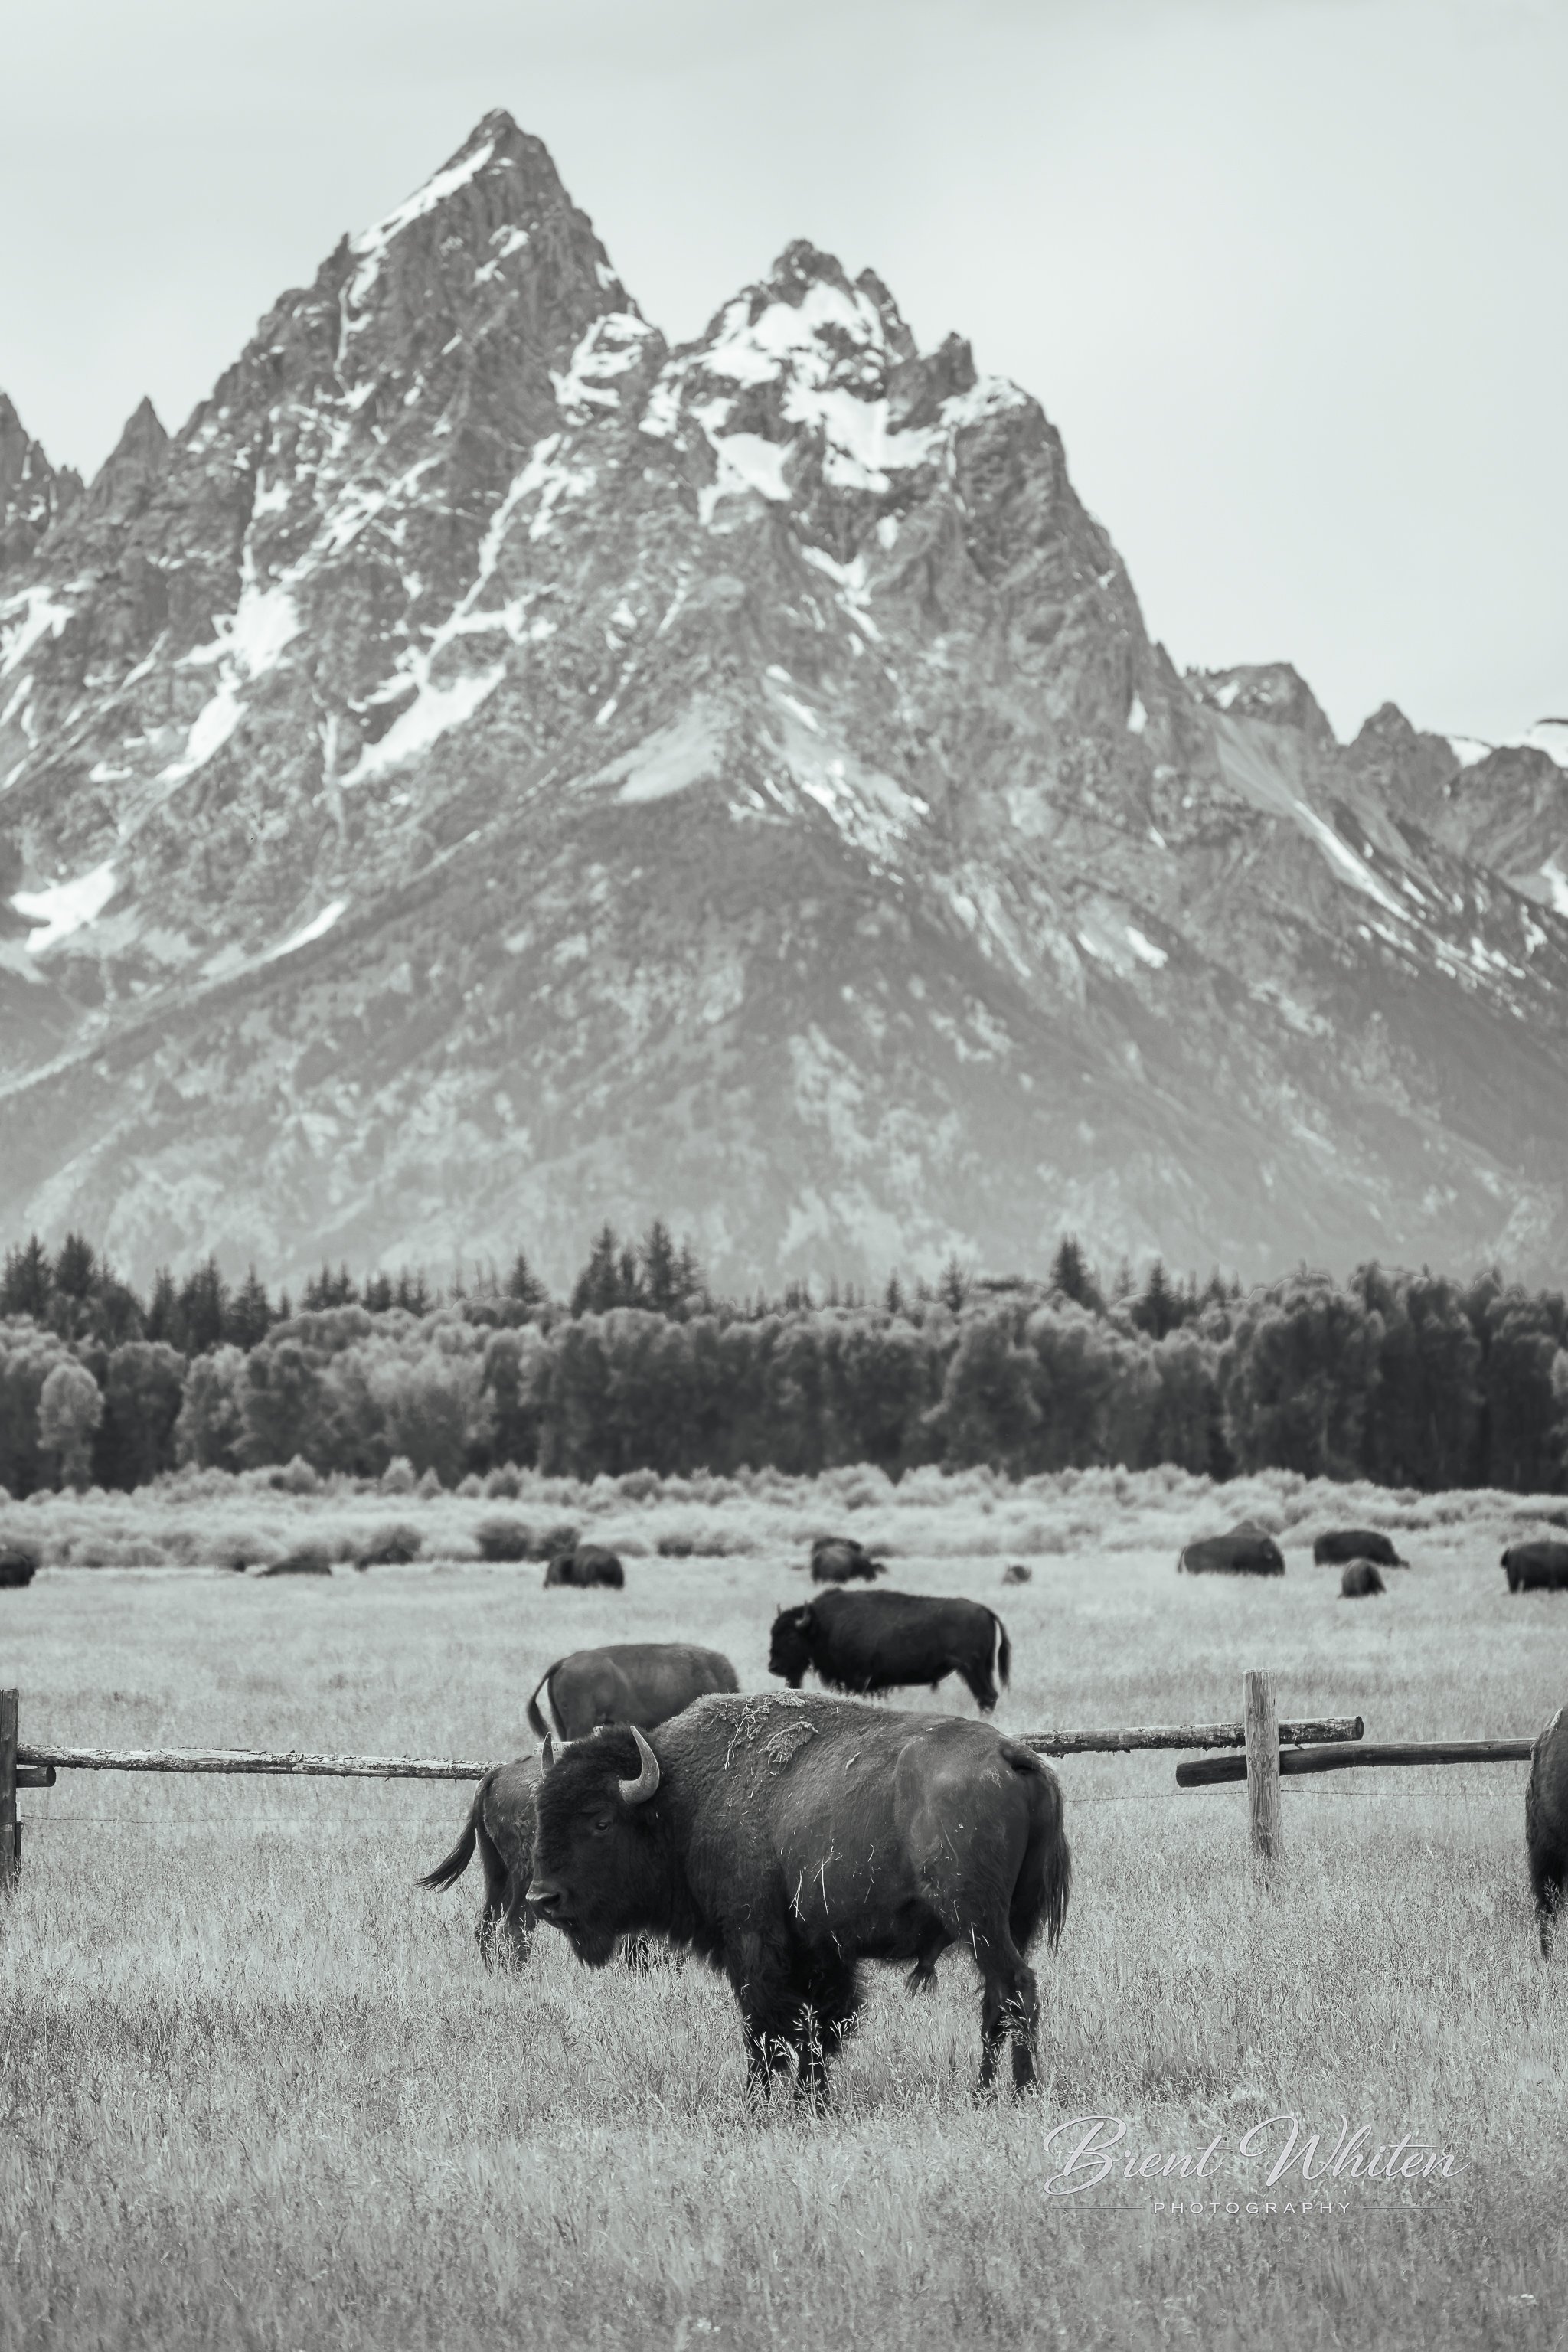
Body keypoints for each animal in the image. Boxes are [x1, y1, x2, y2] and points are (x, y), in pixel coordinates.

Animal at [525, 1691, 1070, 2098]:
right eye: (542, 1812)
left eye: (600, 1820)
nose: (542, 1899)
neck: (682, 1799)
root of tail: (1012, 1756)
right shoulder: (819, 1950)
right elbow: (818, 2026)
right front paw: (813, 2101)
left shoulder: (752, 1940)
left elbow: (766, 2028)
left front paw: (755, 2105)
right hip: (1014, 1921)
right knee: (998, 2000)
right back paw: (984, 2095)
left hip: (977, 1920)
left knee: (1015, 1988)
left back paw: (1016, 2094)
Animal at [769, 1589, 1010, 1714]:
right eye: (773, 1633)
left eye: (791, 1637)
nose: (774, 1667)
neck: (821, 1625)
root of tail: (984, 1610)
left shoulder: (858, 1680)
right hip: (983, 1668)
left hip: (971, 1669)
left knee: (987, 1696)